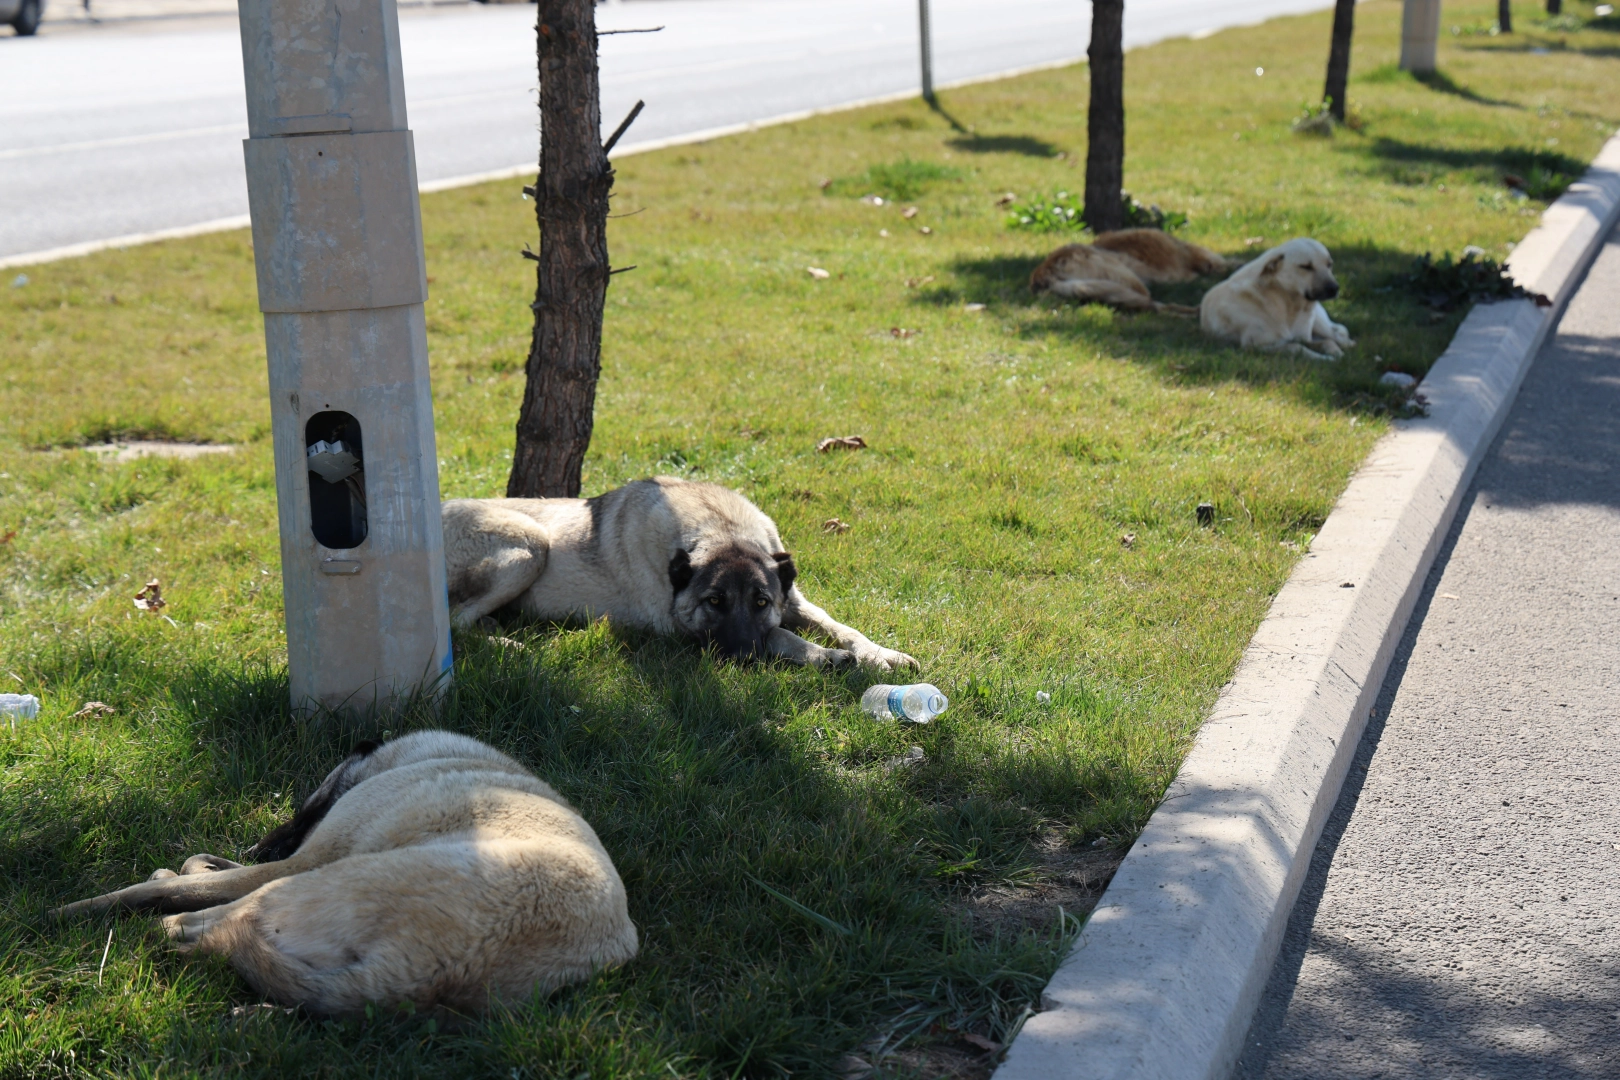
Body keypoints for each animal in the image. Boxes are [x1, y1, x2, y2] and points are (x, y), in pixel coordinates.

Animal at [52, 731, 631, 1016]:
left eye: (306, 803)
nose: (261, 843)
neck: (424, 756)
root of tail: (421, 978)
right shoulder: (287, 858)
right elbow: (201, 870)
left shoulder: (302, 858)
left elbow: (170, 885)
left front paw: (67, 910)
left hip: (300, 883)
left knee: (200, 926)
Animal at [443, 476, 920, 670]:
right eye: (714, 602)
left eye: (761, 601)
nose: (743, 659)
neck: (723, 530)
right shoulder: (680, 630)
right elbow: (780, 636)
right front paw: (825, 656)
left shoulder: (796, 601)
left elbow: (843, 627)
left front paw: (881, 654)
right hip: (530, 546)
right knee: (454, 621)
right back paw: (507, 644)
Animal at [1205, 238, 1354, 361]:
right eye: (1306, 266)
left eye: (1329, 264)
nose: (1334, 289)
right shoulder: (1256, 346)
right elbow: (1295, 346)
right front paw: (1324, 358)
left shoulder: (1305, 338)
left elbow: (1327, 342)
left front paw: (1337, 353)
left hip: (1320, 324)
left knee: (1337, 334)